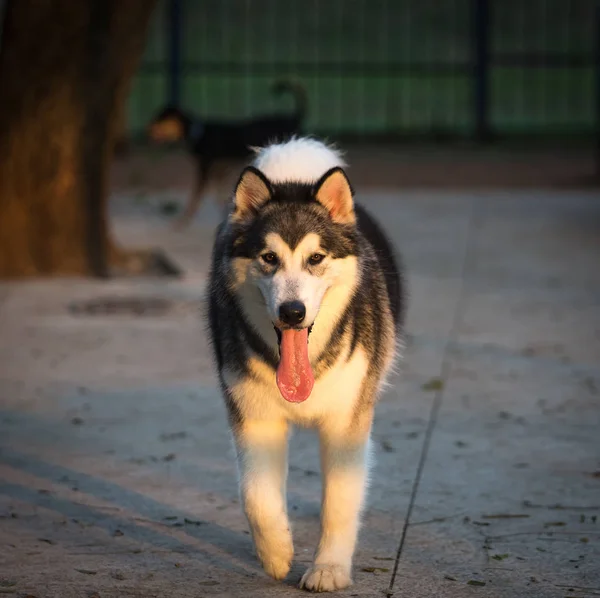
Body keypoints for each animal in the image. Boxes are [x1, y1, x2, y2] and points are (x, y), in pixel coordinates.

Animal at [148, 80, 308, 230]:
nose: (147, 129)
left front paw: (182, 222)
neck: (197, 132)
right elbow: (218, 195)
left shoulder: (205, 170)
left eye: (161, 118)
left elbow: (195, 198)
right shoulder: (217, 171)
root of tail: (294, 116)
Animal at [206, 138, 404, 592]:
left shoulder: (346, 422)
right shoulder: (254, 417)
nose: (293, 312)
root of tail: (295, 174)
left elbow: (339, 502)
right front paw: (277, 553)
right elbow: (255, 495)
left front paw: (329, 568)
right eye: (268, 257)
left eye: (316, 258)